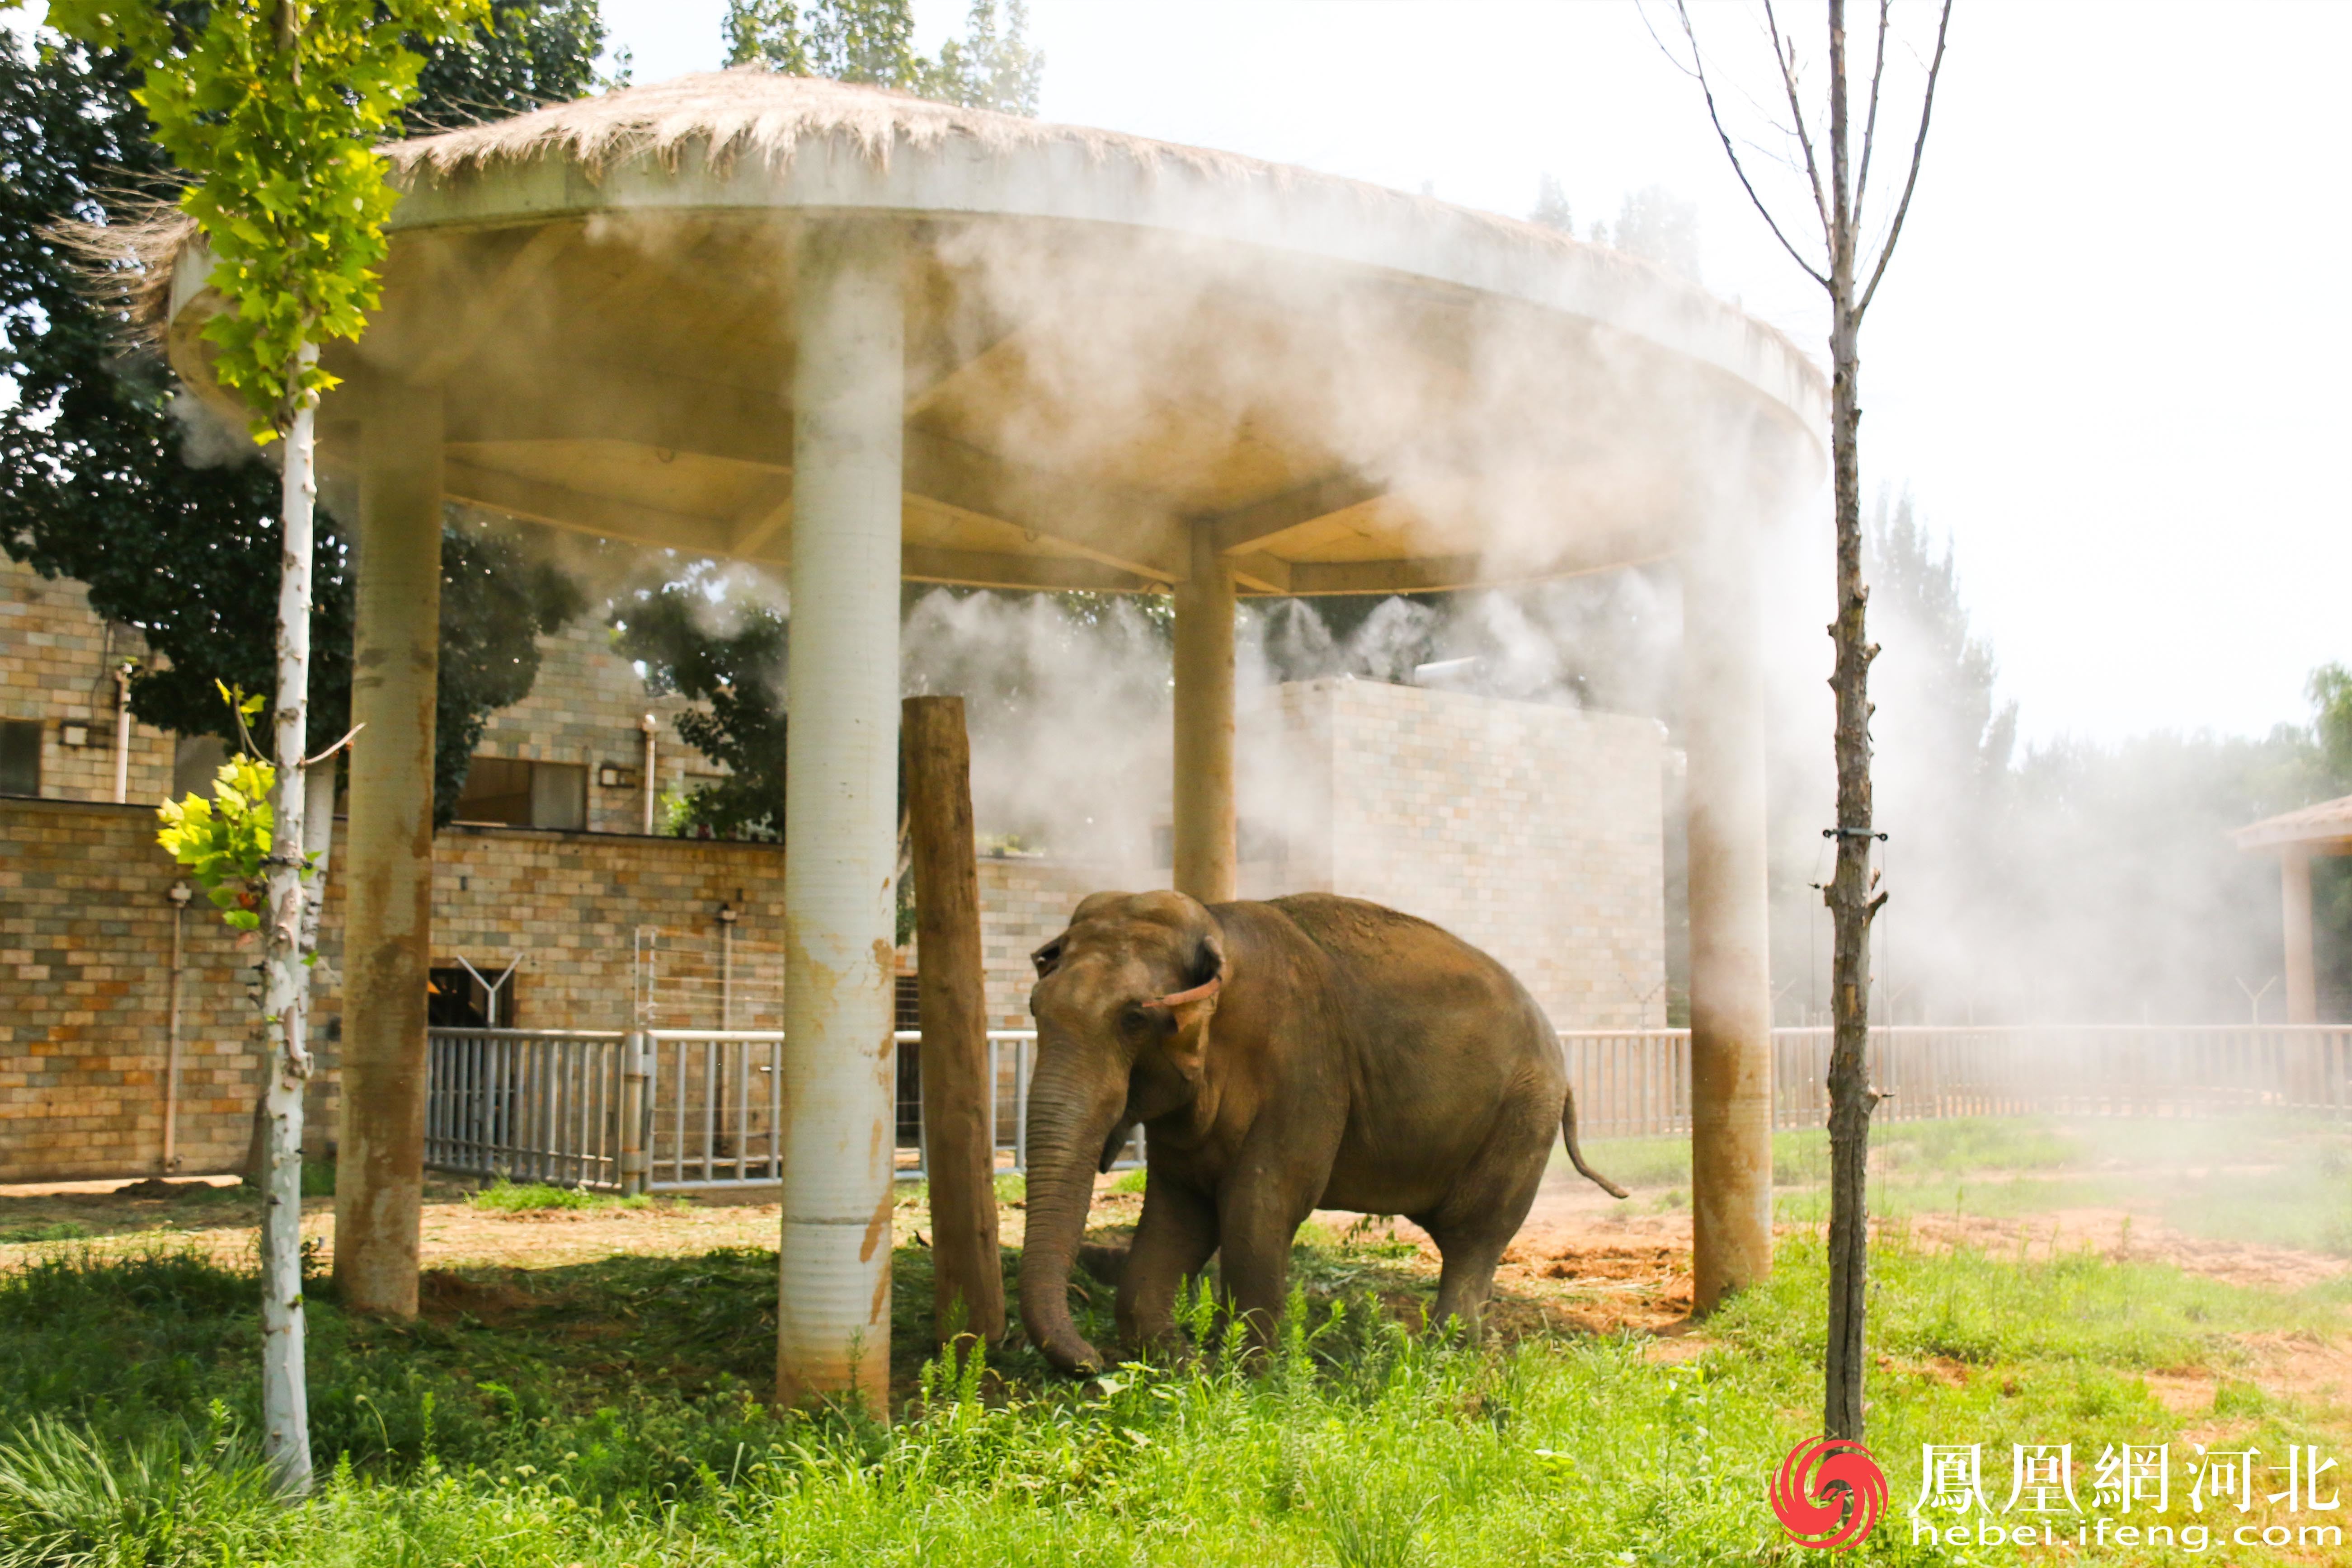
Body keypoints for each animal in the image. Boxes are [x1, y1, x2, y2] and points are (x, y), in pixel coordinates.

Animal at [1016, 888, 1626, 1375]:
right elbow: (1178, 1212)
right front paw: (1187, 1367)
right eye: (1033, 1008)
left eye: (1133, 1019)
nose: (1091, 1364)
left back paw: (1444, 1356)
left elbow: (1259, 1205)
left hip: (1523, 1113)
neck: (1215, 922)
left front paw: (1246, 1378)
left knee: (1474, 1232)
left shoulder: (1303, 1067)